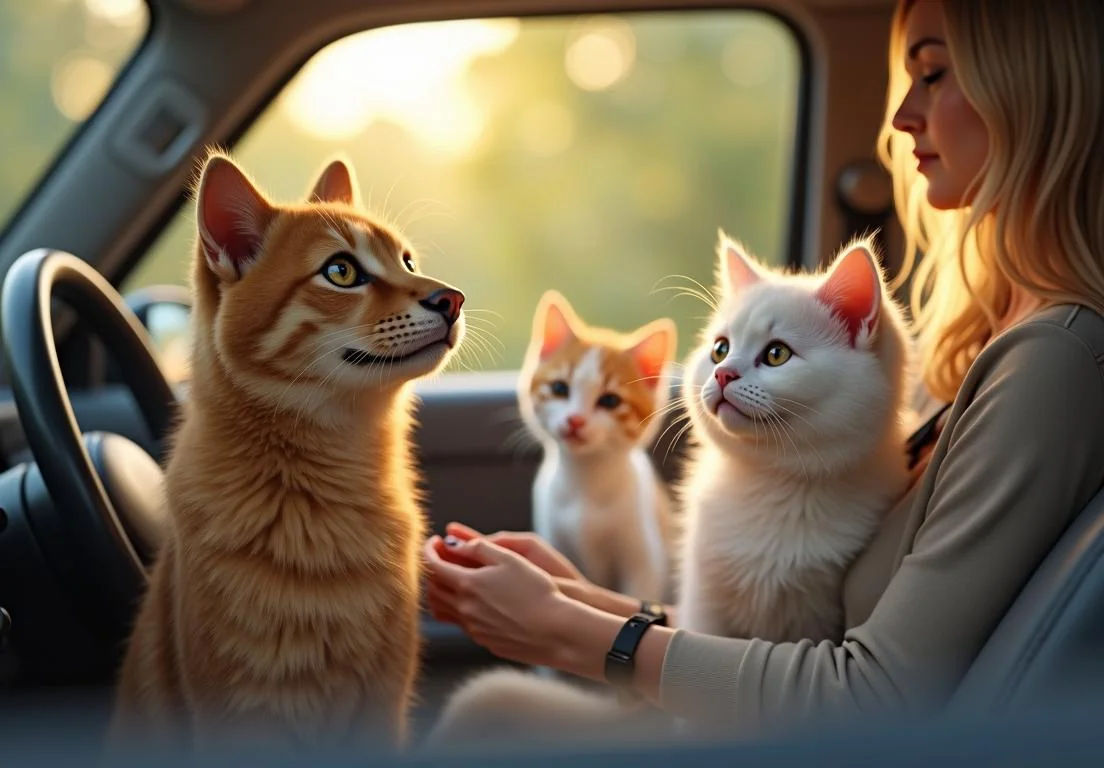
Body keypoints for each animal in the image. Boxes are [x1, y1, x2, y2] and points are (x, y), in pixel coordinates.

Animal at [671, 232, 914, 640]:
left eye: (776, 354)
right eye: (720, 349)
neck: (776, 482)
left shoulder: (818, 618)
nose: (723, 374)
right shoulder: (703, 599)